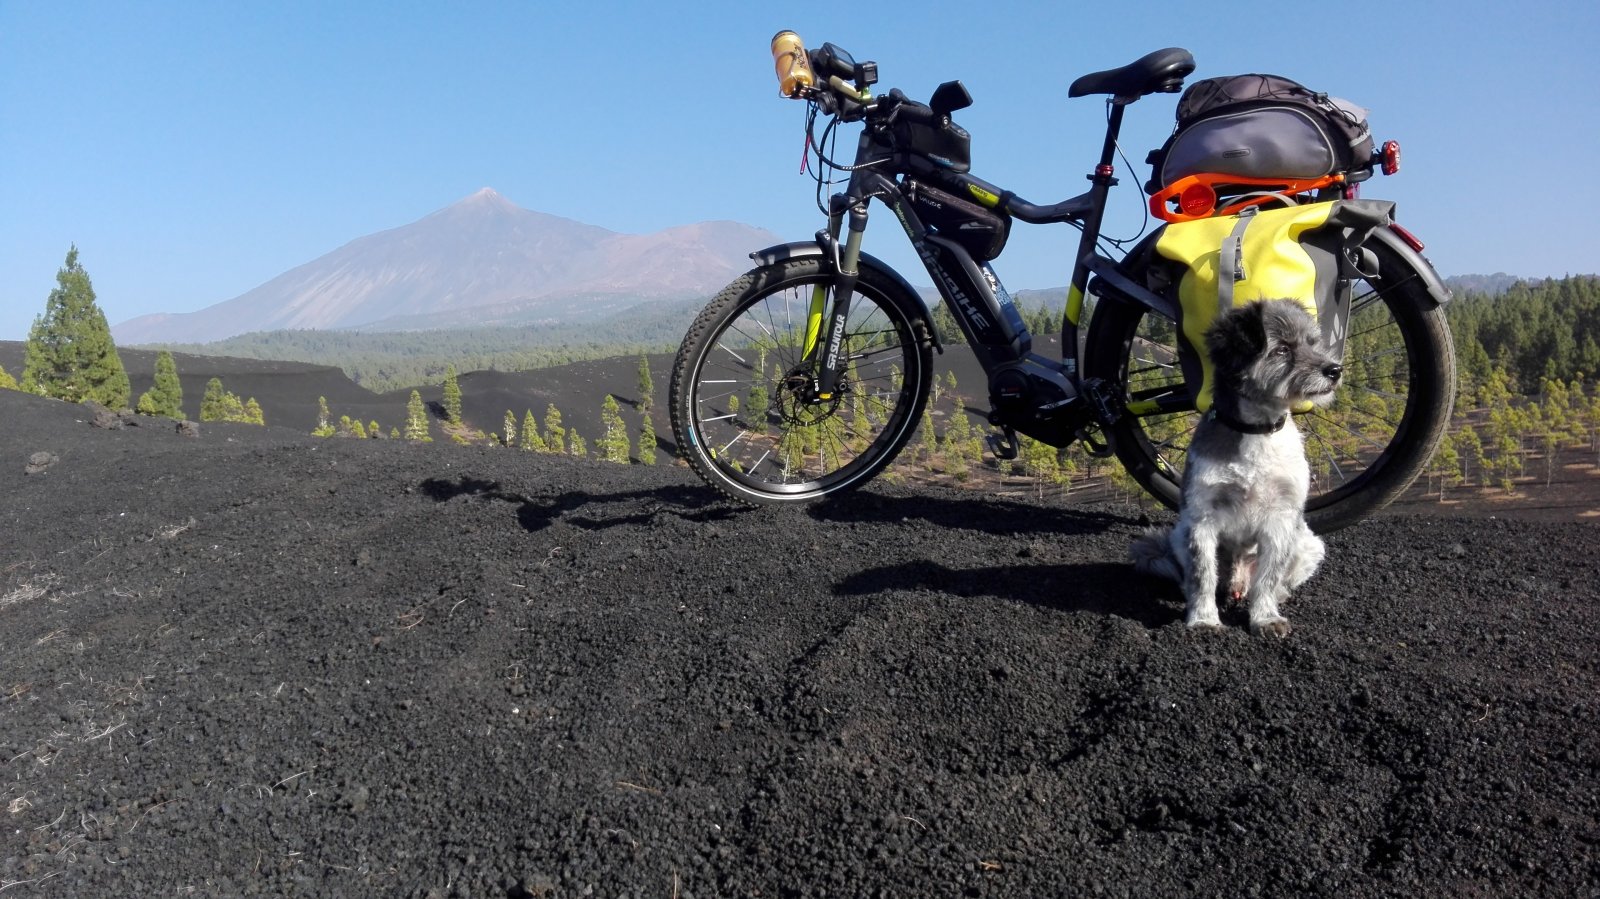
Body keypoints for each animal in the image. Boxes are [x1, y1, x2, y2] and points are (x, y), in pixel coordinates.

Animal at [1132, 300, 1344, 636]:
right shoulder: (1201, 518)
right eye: (1282, 349)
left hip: (1307, 543)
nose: (1334, 369)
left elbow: (1269, 577)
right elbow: (1202, 574)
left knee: (1276, 580)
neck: (1257, 431)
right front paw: (1204, 619)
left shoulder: (1281, 519)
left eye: (1313, 343)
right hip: (1178, 536)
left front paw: (1265, 617)